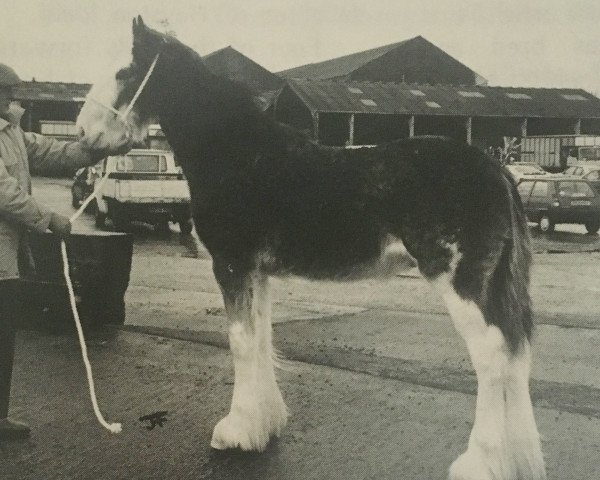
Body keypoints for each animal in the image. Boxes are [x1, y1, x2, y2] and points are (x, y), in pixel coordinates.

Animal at [76, 15, 548, 480]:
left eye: (124, 71)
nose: (83, 132)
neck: (237, 154)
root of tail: (496, 170)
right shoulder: (257, 272)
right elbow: (261, 338)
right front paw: (264, 426)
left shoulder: (231, 265)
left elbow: (240, 342)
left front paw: (235, 433)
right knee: (515, 356)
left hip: (462, 282)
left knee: (493, 359)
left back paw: (480, 462)